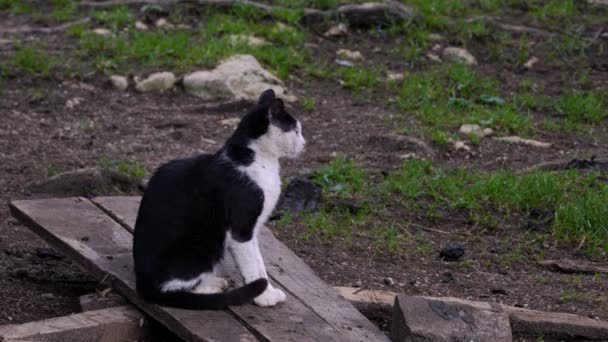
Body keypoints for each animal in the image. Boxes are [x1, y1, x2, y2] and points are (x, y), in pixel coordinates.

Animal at [132, 89, 304, 308]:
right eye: (296, 131)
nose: (304, 143)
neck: (257, 160)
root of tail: (142, 284)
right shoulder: (242, 229)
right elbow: (253, 267)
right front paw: (264, 296)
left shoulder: (253, 229)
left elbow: (259, 262)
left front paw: (269, 291)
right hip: (206, 245)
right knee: (174, 289)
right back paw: (209, 287)